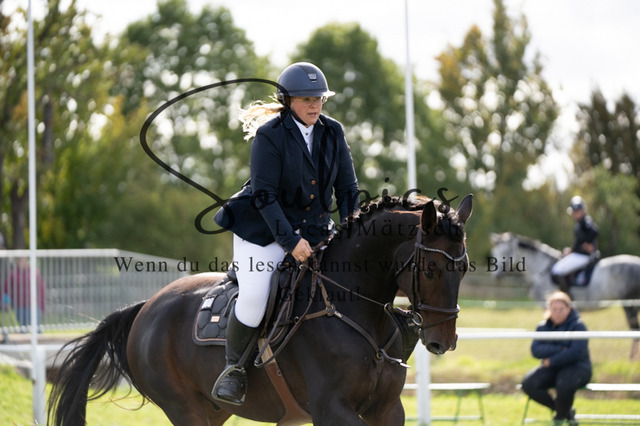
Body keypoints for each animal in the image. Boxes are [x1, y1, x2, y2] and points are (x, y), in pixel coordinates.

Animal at [48, 194, 473, 426]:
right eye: (430, 268)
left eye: (465, 267)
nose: (444, 342)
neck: (349, 312)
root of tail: (144, 308)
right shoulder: (331, 409)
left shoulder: (387, 409)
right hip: (183, 407)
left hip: (215, 410)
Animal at [490, 232, 640, 357]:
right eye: (494, 252)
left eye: (506, 252)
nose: (496, 276)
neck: (541, 269)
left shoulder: (548, 305)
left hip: (629, 305)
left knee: (634, 330)